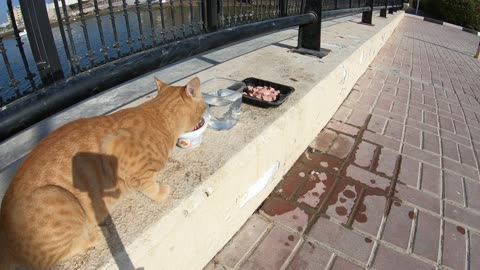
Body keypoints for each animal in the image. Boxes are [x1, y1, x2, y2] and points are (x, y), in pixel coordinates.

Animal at [0, 77, 204, 268]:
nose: (205, 115)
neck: (159, 115)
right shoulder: (118, 150)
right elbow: (148, 185)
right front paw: (161, 192)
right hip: (55, 195)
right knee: (63, 251)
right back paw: (97, 233)